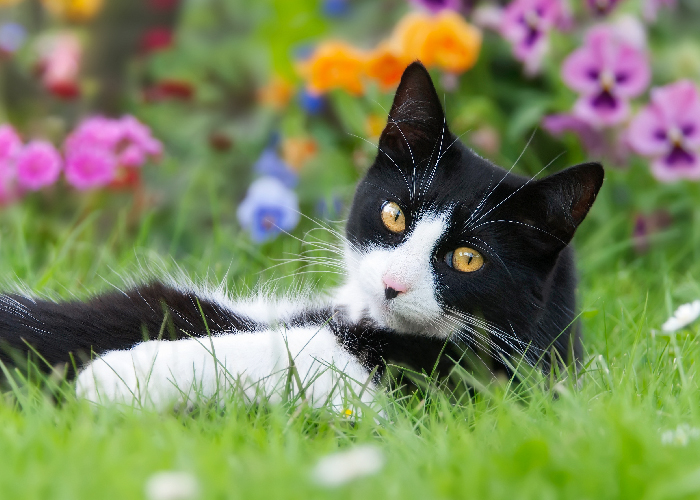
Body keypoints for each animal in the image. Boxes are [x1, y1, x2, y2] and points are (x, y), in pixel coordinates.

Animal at [0, 62, 600, 412]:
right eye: (394, 215)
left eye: (469, 259)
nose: (392, 285)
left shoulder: (447, 388)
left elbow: (282, 356)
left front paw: (116, 375)